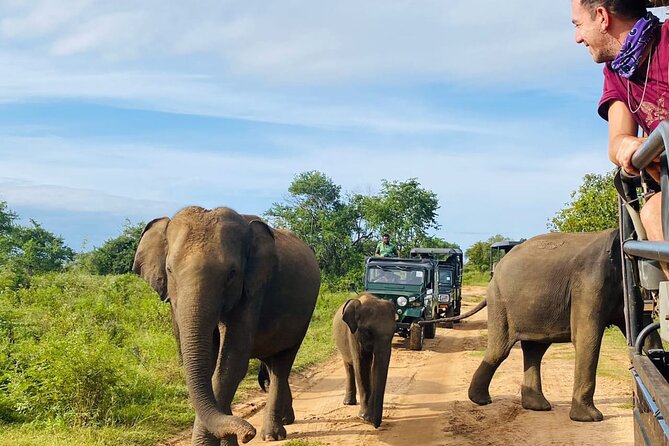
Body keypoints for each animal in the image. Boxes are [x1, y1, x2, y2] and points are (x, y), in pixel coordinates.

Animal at [132, 206, 320, 445]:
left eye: (232, 273)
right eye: (169, 270)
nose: (248, 434)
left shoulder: (252, 290)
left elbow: (230, 363)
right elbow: (207, 361)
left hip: (302, 318)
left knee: (281, 364)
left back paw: (272, 434)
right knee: (271, 363)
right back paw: (285, 420)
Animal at [333, 292, 396, 428]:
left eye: (394, 331)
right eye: (368, 331)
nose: (376, 425)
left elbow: (374, 367)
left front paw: (368, 416)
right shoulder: (353, 335)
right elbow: (361, 366)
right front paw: (364, 417)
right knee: (349, 366)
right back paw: (348, 403)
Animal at [467, 229, 626, 422]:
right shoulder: (590, 283)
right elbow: (586, 338)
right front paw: (590, 419)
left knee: (535, 349)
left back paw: (537, 406)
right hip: (499, 302)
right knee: (500, 350)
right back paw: (481, 400)